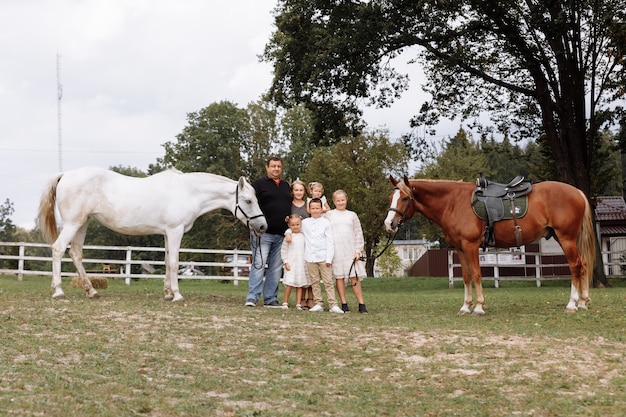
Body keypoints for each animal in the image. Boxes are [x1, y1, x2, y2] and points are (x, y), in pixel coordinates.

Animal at [36, 167, 266, 300]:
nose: (263, 226)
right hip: (73, 223)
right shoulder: (175, 231)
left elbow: (166, 262)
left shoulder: (166, 233)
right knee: (58, 249)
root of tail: (65, 175)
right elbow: (174, 262)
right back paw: (58, 291)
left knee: (75, 254)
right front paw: (177, 295)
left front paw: (167, 293)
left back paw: (91, 291)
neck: (188, 192)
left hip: (82, 224)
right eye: (248, 200)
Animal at [382, 176, 592, 316]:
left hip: (566, 238)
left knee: (575, 266)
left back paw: (572, 304)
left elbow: (476, 274)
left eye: (405, 198)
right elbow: (466, 276)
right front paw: (465, 306)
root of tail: (578, 192)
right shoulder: (460, 248)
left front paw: (479, 307)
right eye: (390, 199)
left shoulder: (470, 246)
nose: (389, 223)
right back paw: (582, 302)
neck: (453, 202)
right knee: (583, 264)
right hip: (565, 238)